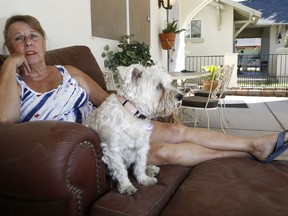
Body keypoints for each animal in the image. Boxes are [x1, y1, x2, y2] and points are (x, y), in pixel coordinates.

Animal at [84, 63, 182, 195]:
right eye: (159, 86)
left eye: (169, 83)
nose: (181, 96)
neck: (134, 113)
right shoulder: (112, 150)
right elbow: (121, 171)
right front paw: (126, 186)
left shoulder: (142, 147)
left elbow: (140, 165)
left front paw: (144, 179)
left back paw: (150, 169)